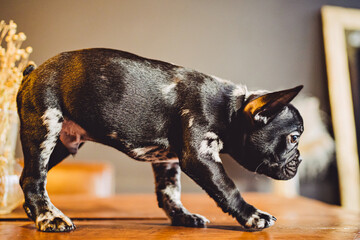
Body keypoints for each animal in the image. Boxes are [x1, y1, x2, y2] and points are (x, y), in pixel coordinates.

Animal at [16, 47, 304, 232]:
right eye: (293, 138)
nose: (300, 159)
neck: (230, 109)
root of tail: (32, 73)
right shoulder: (200, 157)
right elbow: (227, 188)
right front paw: (253, 216)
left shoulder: (168, 160)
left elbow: (169, 192)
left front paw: (182, 216)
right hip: (45, 129)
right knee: (34, 178)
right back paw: (49, 216)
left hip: (60, 144)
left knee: (29, 177)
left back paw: (36, 212)